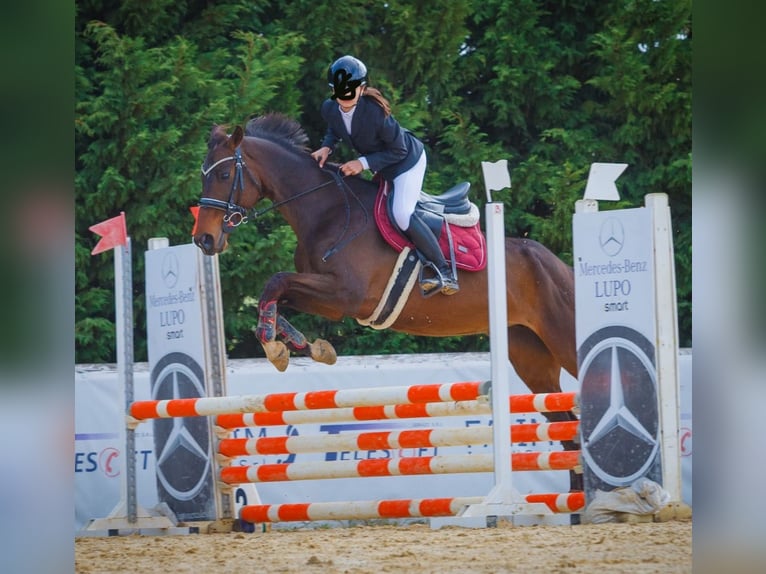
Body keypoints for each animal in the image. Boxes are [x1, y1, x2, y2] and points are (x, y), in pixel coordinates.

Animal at [194, 113, 584, 496]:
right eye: (204, 173)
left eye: (224, 175)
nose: (204, 240)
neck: (326, 211)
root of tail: (561, 267)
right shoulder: (329, 300)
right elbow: (275, 291)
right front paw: (303, 346)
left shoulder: (345, 294)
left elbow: (275, 281)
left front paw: (276, 347)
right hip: (531, 360)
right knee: (568, 430)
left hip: (564, 340)